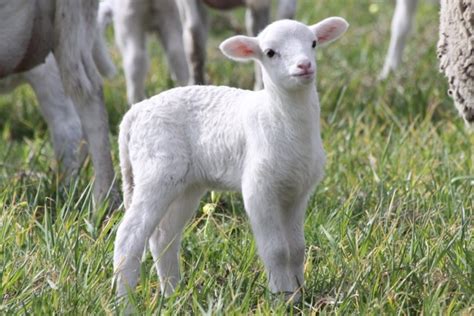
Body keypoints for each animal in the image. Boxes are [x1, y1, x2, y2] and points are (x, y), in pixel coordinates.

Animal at [112, 17, 348, 302]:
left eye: (313, 43)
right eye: (270, 53)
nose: (304, 65)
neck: (279, 116)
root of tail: (133, 114)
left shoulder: (298, 192)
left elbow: (297, 248)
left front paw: (297, 296)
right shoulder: (259, 189)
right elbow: (277, 250)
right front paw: (280, 299)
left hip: (186, 185)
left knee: (163, 237)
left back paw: (173, 295)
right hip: (155, 171)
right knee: (129, 235)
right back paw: (124, 302)